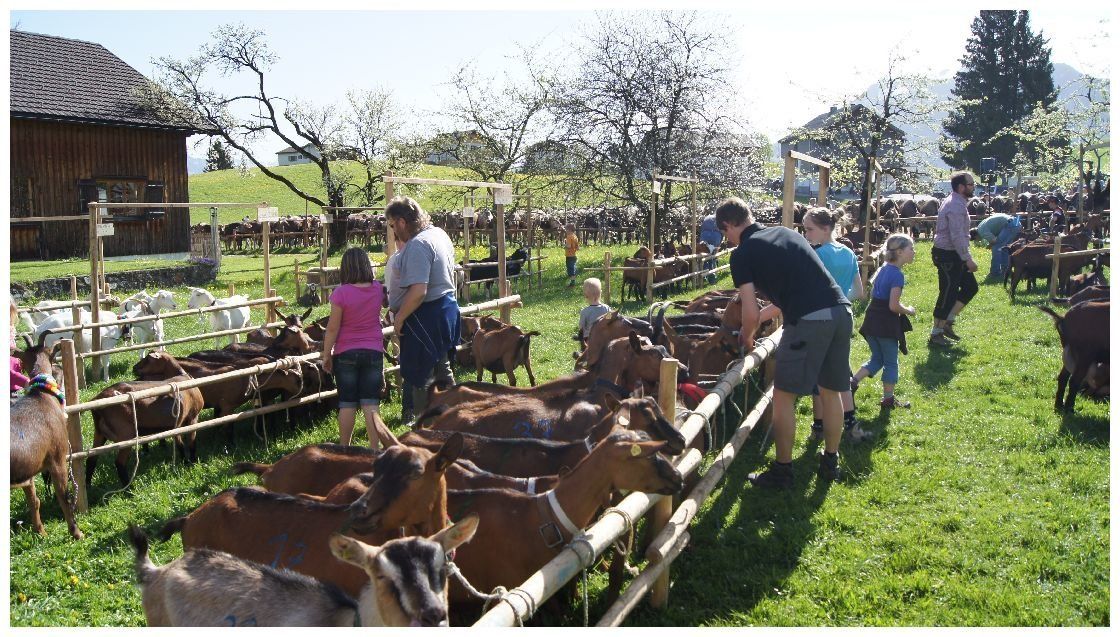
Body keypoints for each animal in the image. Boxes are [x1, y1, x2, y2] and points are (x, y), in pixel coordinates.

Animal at [10, 334, 82, 539]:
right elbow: (64, 497)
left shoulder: (27, 470)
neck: (42, 396)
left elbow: (34, 501)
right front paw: (76, 533)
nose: (58, 369)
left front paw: (41, 533)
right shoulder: (57, 459)